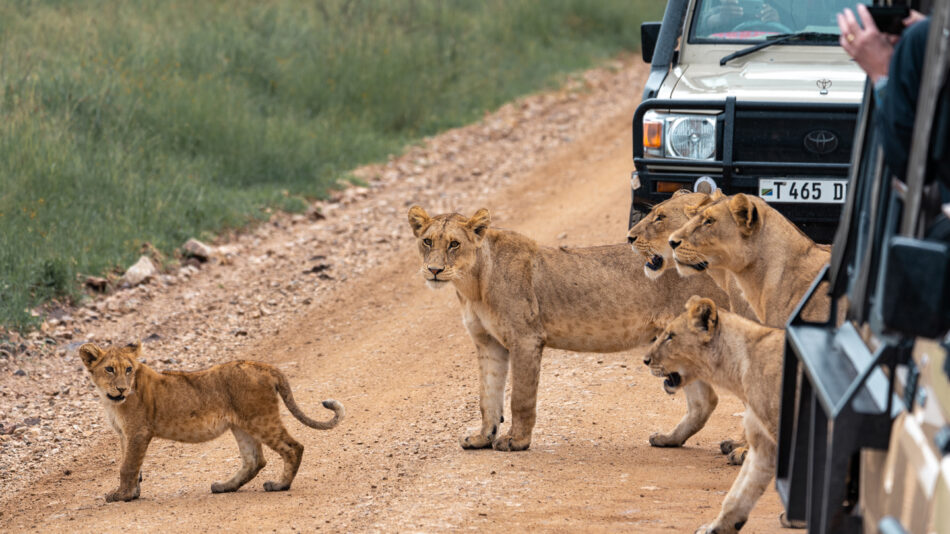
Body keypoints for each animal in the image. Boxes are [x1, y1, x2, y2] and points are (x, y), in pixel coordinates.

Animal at [80, 344, 344, 502]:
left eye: (128, 369)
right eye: (109, 369)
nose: (122, 388)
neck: (111, 400)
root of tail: (264, 366)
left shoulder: (138, 432)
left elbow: (127, 466)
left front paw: (121, 495)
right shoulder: (125, 435)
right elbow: (133, 465)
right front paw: (133, 492)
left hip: (260, 418)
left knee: (293, 447)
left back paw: (280, 485)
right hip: (242, 425)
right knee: (255, 460)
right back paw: (224, 486)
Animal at [410, 207, 736, 454]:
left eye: (454, 244)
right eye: (427, 242)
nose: (435, 270)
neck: (472, 284)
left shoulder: (526, 338)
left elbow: (520, 398)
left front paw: (516, 441)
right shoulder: (488, 343)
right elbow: (487, 396)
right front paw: (482, 438)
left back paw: (735, 449)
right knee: (704, 402)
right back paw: (669, 439)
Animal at [644, 298, 784, 534]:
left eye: (671, 335)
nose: (645, 359)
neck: (738, 365)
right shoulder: (764, 442)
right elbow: (739, 494)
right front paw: (715, 528)